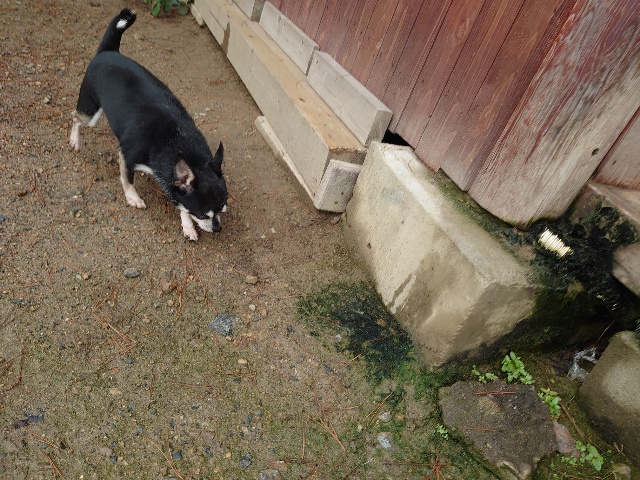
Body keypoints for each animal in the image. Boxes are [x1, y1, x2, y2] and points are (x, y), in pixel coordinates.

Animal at [70, 8, 228, 241]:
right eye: (203, 215)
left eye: (222, 209)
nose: (218, 228)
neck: (177, 140)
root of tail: (109, 51)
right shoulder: (127, 156)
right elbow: (127, 180)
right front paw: (133, 198)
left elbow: (179, 203)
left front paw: (187, 225)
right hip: (90, 112)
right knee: (75, 117)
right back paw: (74, 141)